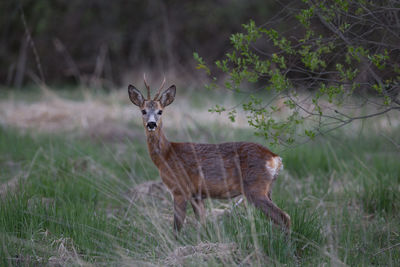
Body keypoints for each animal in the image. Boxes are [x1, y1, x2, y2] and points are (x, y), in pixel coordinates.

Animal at [128, 77, 290, 234]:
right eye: (143, 111)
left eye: (160, 111)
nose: (151, 124)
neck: (167, 154)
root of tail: (276, 158)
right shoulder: (197, 195)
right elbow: (203, 225)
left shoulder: (179, 189)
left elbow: (177, 228)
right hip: (267, 189)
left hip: (255, 187)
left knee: (284, 217)